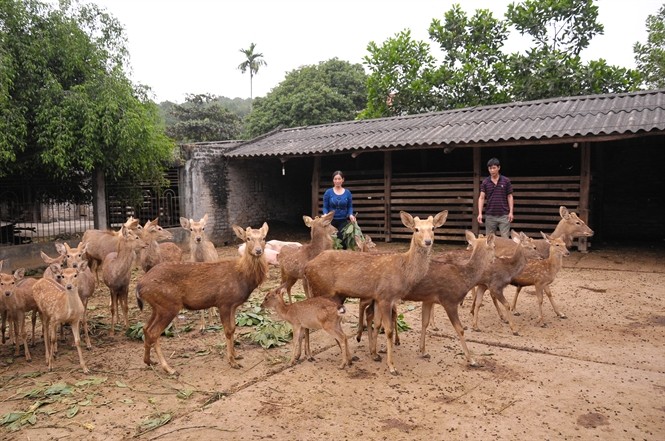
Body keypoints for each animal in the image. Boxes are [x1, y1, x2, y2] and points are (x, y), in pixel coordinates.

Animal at [135, 222, 270, 372]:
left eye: (264, 237)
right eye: (248, 238)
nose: (258, 250)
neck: (242, 276)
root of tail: (139, 286)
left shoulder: (233, 305)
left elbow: (234, 328)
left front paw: (236, 355)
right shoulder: (224, 302)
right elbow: (228, 331)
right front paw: (232, 361)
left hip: (158, 306)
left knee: (146, 328)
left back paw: (149, 361)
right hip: (168, 305)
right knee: (154, 332)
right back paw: (169, 368)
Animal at [304, 210, 446, 374]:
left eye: (433, 228)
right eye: (416, 229)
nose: (428, 241)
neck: (404, 271)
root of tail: (307, 267)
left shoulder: (379, 297)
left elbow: (377, 323)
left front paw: (375, 353)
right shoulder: (385, 296)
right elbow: (388, 330)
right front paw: (392, 366)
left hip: (334, 295)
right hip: (322, 290)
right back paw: (324, 357)